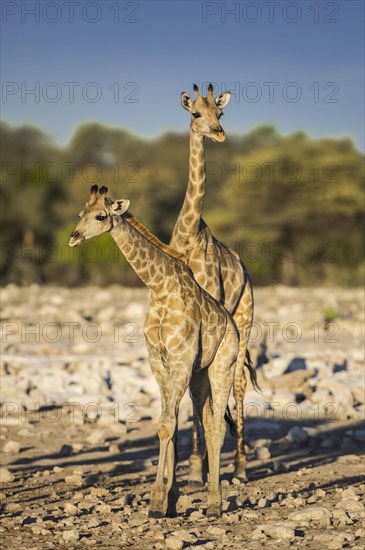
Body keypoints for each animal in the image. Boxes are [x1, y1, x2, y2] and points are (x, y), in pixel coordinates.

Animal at [68, 187, 239, 520]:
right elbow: (165, 425)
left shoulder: (181, 360)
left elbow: (168, 424)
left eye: (101, 216)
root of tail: (234, 327)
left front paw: (157, 501)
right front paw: (168, 499)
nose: (74, 237)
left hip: (223, 366)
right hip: (200, 375)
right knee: (208, 418)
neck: (161, 290)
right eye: (80, 213)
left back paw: (215, 504)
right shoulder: (159, 363)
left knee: (218, 425)